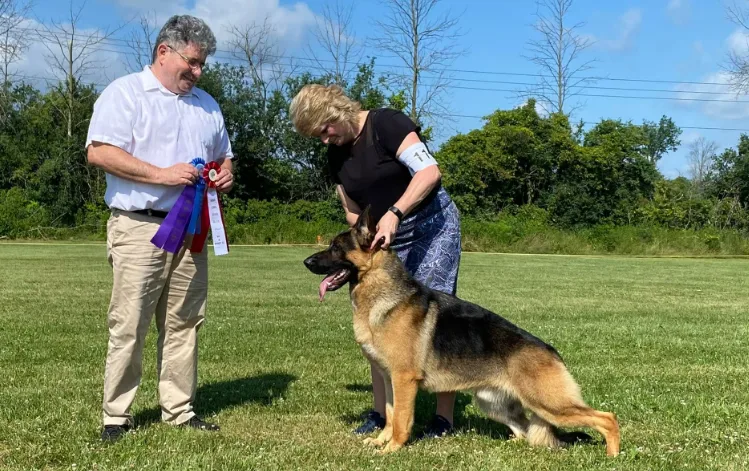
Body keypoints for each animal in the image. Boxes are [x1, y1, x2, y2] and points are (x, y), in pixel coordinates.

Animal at [302, 207, 620, 458]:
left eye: (336, 247)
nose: (306, 262)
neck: (383, 294)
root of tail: (552, 352)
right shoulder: (389, 380)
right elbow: (391, 416)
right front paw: (381, 442)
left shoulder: (404, 380)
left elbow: (402, 420)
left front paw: (392, 449)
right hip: (493, 403)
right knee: (525, 431)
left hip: (549, 404)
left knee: (607, 417)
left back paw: (612, 455)